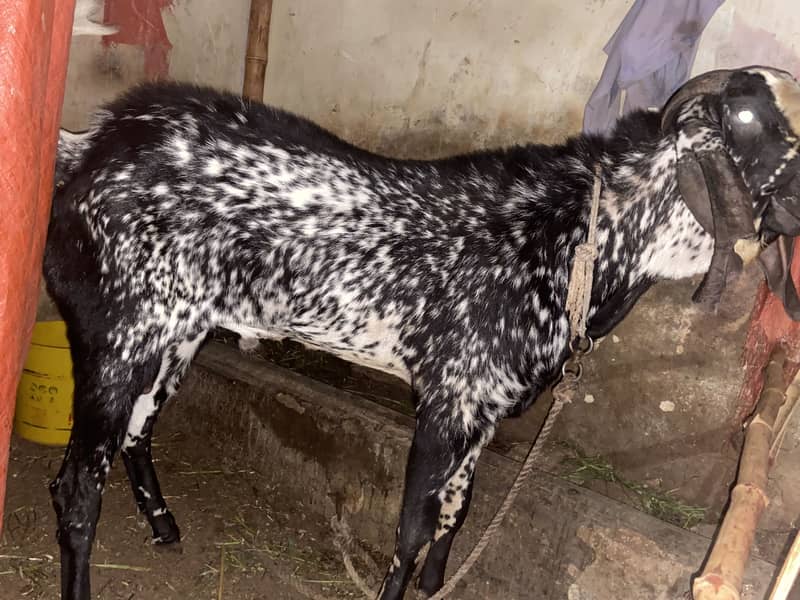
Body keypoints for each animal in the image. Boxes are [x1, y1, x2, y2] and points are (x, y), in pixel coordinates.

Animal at [43, 67, 800, 600]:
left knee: (135, 434)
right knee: (77, 485)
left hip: (177, 336)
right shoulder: (449, 402)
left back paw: (165, 526)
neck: (564, 240)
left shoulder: (485, 408)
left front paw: (437, 585)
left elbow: (456, 512)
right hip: (120, 332)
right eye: (758, 126)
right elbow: (410, 527)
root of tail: (90, 146)